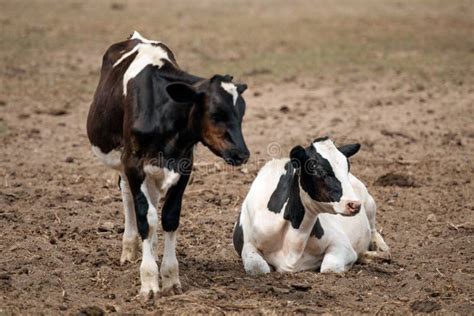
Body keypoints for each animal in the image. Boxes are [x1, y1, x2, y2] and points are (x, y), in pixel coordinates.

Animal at [88, 32, 252, 296]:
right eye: (215, 114)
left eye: (241, 114)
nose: (241, 153)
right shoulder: (133, 164)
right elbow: (145, 217)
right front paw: (148, 282)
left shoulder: (184, 165)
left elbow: (169, 217)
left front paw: (169, 277)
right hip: (125, 163)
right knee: (128, 196)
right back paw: (129, 249)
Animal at [233, 137, 388, 276]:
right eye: (316, 168)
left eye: (347, 168)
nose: (354, 204)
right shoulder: (248, 245)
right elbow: (258, 268)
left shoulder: (342, 244)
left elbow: (330, 267)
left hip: (369, 203)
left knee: (373, 230)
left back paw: (380, 249)